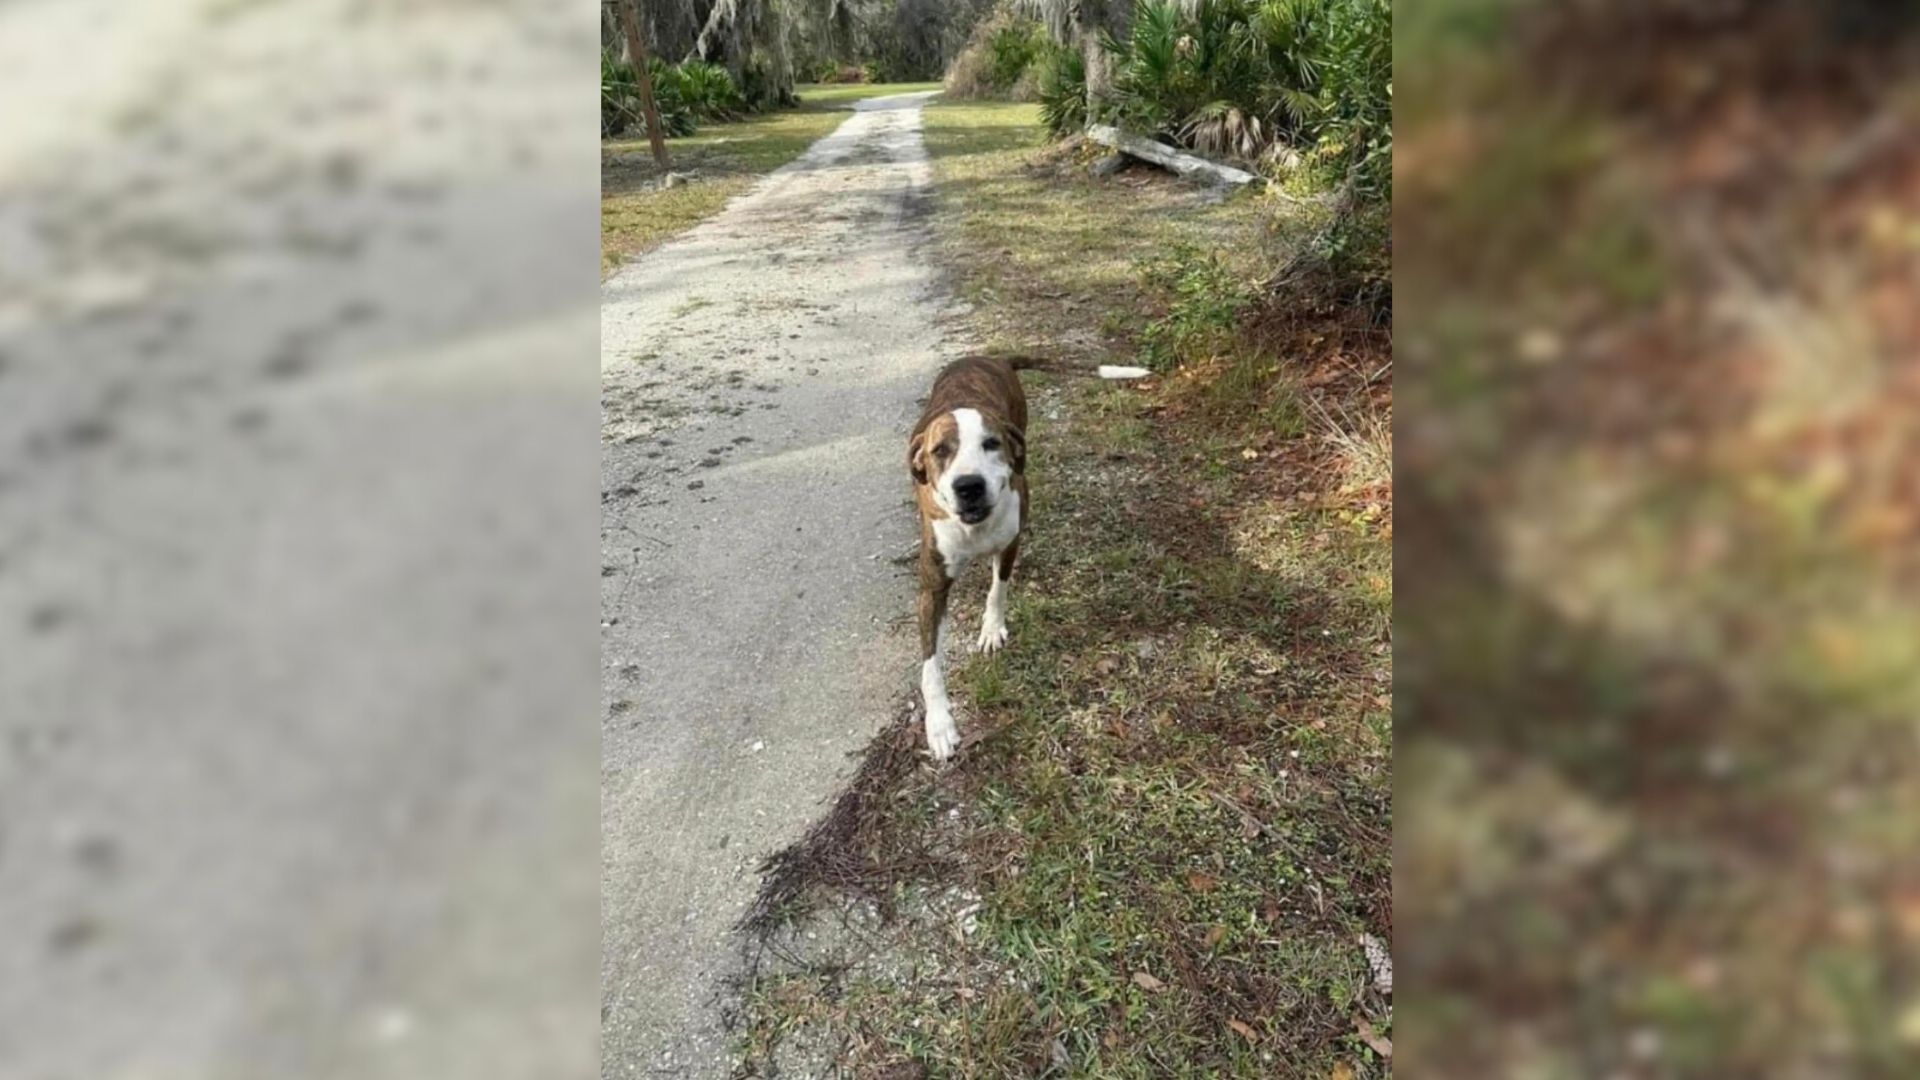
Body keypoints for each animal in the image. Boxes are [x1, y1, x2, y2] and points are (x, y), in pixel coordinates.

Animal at [906, 353, 1029, 757]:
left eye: (991, 444)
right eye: (940, 451)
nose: (969, 485)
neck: (974, 528)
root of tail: (990, 357)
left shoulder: (1010, 543)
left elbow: (997, 589)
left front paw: (991, 628)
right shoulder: (932, 590)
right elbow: (929, 667)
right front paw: (939, 724)